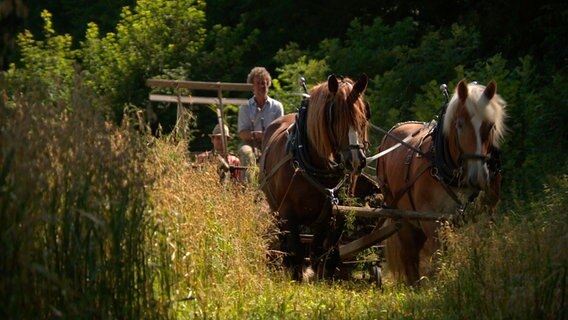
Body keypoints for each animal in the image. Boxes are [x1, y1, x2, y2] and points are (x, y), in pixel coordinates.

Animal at [260, 74, 370, 280]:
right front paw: (296, 278)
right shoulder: (287, 213)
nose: (355, 161)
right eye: (336, 118)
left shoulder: (329, 215)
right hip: (275, 210)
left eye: (363, 118)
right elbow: (296, 251)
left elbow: (319, 252)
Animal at [378, 80, 506, 284]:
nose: (478, 176)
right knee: (410, 255)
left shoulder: (484, 215)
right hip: (401, 216)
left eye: (490, 125)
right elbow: (442, 258)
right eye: (460, 125)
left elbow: (479, 248)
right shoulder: (433, 220)